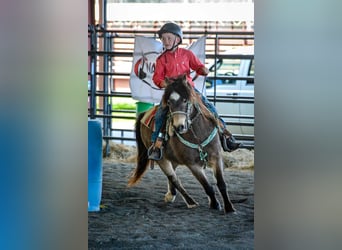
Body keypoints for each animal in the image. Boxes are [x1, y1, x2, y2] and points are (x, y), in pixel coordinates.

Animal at [128, 73, 235, 213]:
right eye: (169, 102)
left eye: (185, 100)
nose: (179, 127)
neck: (197, 135)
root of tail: (144, 114)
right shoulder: (193, 165)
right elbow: (207, 185)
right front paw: (214, 204)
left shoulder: (216, 157)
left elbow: (221, 184)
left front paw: (229, 207)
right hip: (161, 159)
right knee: (174, 178)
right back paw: (191, 202)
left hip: (173, 158)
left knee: (173, 177)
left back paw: (171, 194)